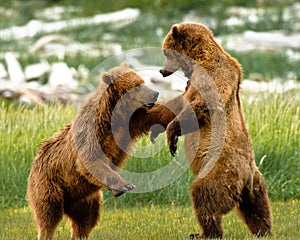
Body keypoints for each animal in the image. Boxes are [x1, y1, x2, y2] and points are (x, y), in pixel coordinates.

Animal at [27, 62, 159, 239]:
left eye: (143, 81)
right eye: (137, 85)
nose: (155, 93)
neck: (112, 116)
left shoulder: (128, 124)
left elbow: (150, 118)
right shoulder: (91, 133)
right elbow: (90, 160)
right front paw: (125, 186)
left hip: (85, 199)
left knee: (86, 220)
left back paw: (79, 234)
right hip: (49, 184)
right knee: (49, 214)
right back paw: (46, 231)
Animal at [149, 23, 272, 238]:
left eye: (165, 51)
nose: (162, 70)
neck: (199, 59)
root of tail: (246, 175)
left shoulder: (211, 74)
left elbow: (204, 104)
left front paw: (172, 137)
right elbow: (177, 103)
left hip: (220, 170)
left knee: (205, 196)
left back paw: (204, 233)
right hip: (256, 185)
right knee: (258, 209)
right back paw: (263, 230)